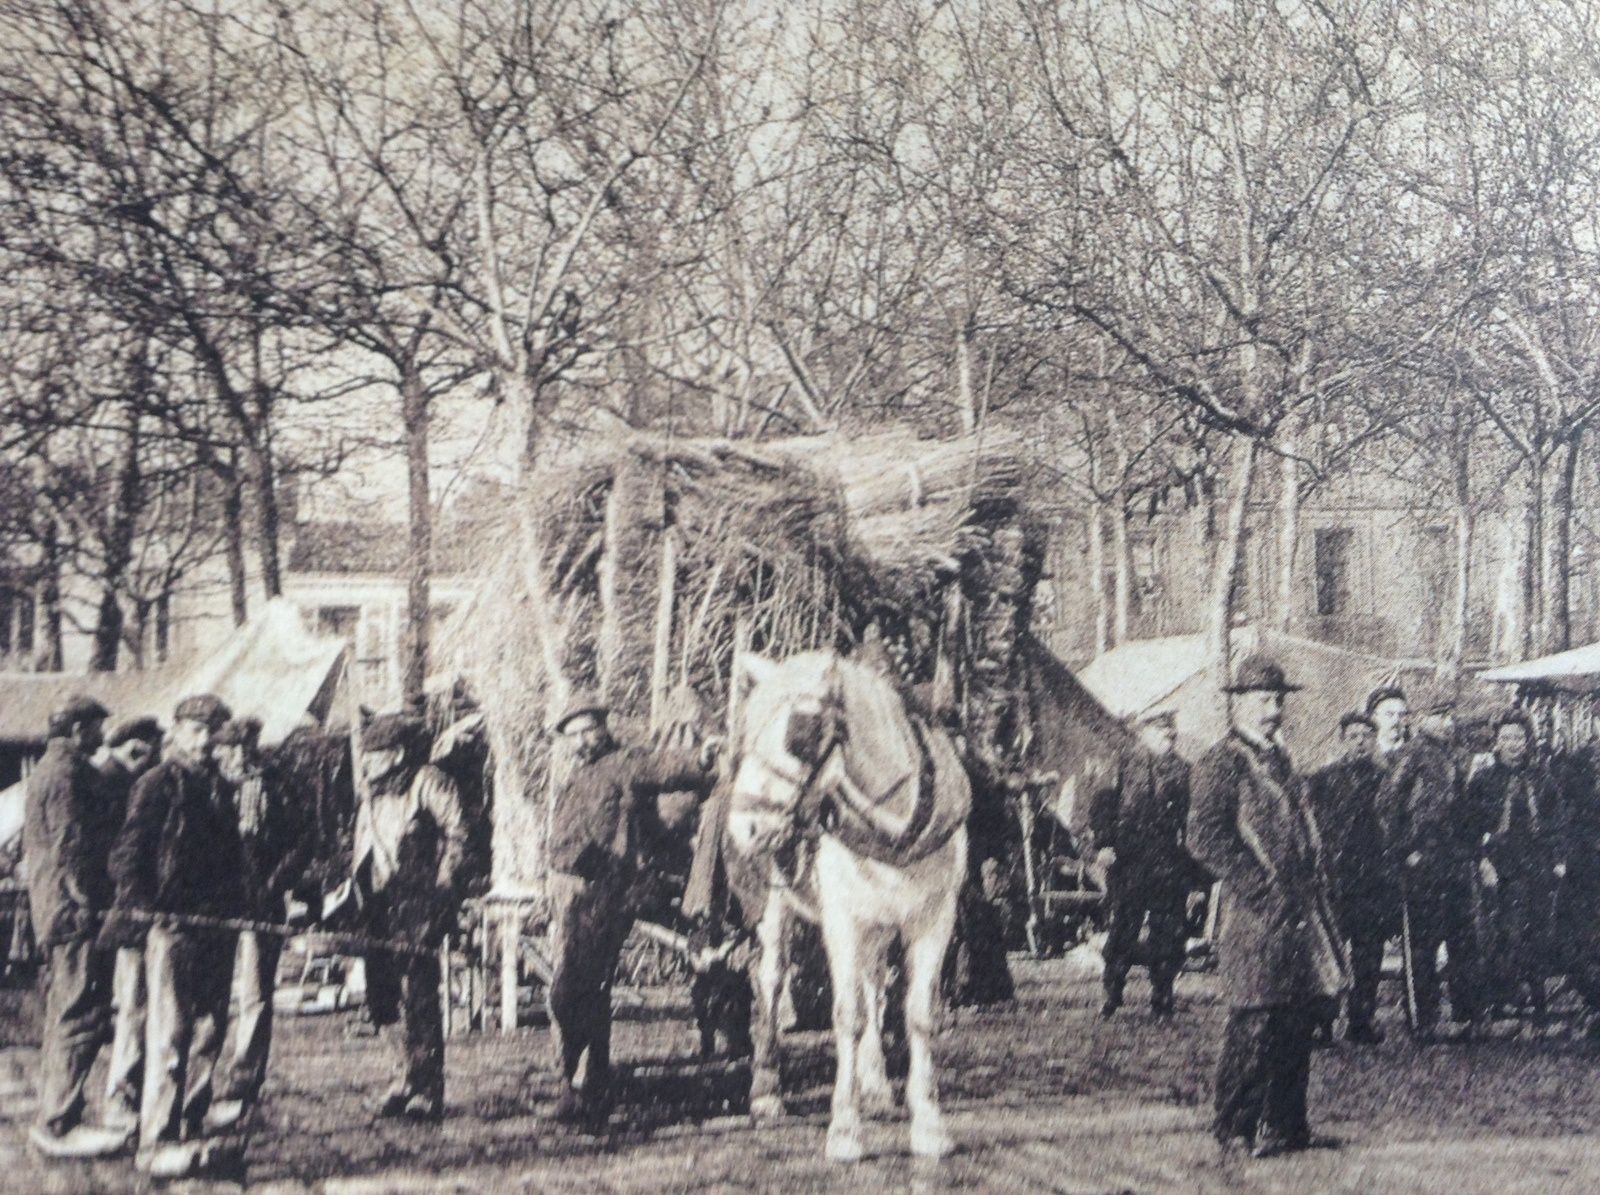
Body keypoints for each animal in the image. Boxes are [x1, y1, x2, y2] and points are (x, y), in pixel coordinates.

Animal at [729, 649, 972, 1164]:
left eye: (800, 733)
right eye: (747, 731)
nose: (742, 829)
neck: (894, 828)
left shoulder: (935, 917)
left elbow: (918, 1013)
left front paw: (929, 1123)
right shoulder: (842, 920)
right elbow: (847, 1015)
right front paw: (844, 1129)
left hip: (879, 924)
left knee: (874, 985)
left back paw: (876, 1083)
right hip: (780, 909)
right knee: (773, 980)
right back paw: (767, 1090)